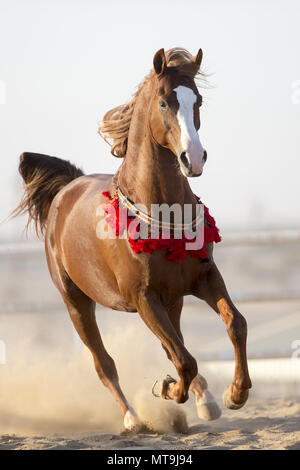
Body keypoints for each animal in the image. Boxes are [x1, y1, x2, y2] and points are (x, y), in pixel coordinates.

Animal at [15, 49, 252, 432]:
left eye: (197, 100)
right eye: (163, 102)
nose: (193, 158)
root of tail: (68, 188)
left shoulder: (204, 278)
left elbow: (235, 325)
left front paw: (235, 394)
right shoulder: (143, 298)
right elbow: (183, 361)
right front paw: (166, 389)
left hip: (173, 300)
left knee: (176, 345)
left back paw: (206, 401)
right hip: (76, 302)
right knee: (105, 363)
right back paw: (133, 418)